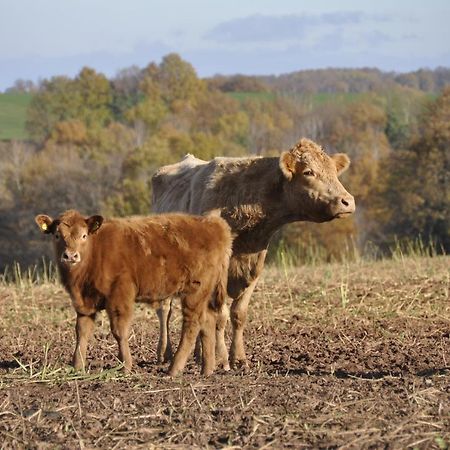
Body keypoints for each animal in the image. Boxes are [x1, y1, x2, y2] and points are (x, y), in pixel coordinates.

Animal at [35, 211, 232, 376]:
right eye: (57, 235)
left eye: (84, 235)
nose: (70, 256)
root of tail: (214, 224)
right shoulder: (85, 303)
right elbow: (82, 331)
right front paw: (77, 366)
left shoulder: (119, 296)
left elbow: (119, 331)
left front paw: (126, 366)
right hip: (204, 295)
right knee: (208, 321)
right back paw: (207, 370)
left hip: (194, 292)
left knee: (192, 325)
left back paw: (174, 369)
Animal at [151, 137, 356, 370]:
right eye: (308, 172)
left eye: (334, 171)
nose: (348, 201)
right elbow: (220, 314)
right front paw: (221, 358)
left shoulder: (255, 264)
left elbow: (238, 313)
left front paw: (238, 358)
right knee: (165, 309)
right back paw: (165, 353)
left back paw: (198, 353)